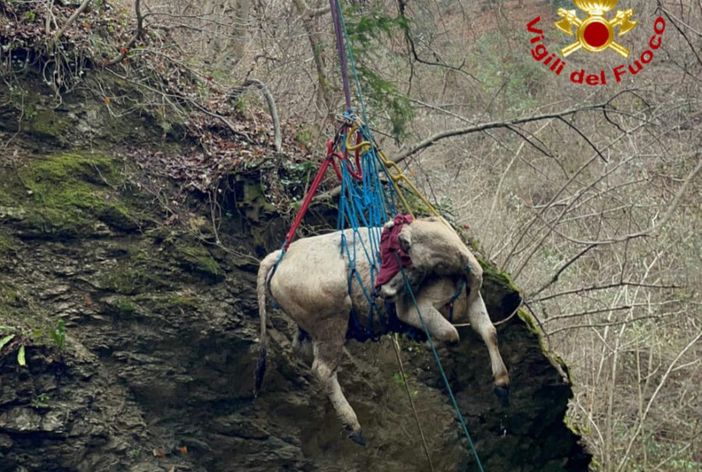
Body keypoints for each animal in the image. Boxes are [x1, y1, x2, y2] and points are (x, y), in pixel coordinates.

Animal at [255, 217, 510, 445]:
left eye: (399, 255)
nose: (382, 291)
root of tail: (280, 255)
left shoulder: (474, 300)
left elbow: (488, 331)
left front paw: (502, 381)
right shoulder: (414, 309)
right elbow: (451, 334)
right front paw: (426, 340)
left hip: (311, 327)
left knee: (304, 351)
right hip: (333, 319)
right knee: (323, 368)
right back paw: (353, 425)